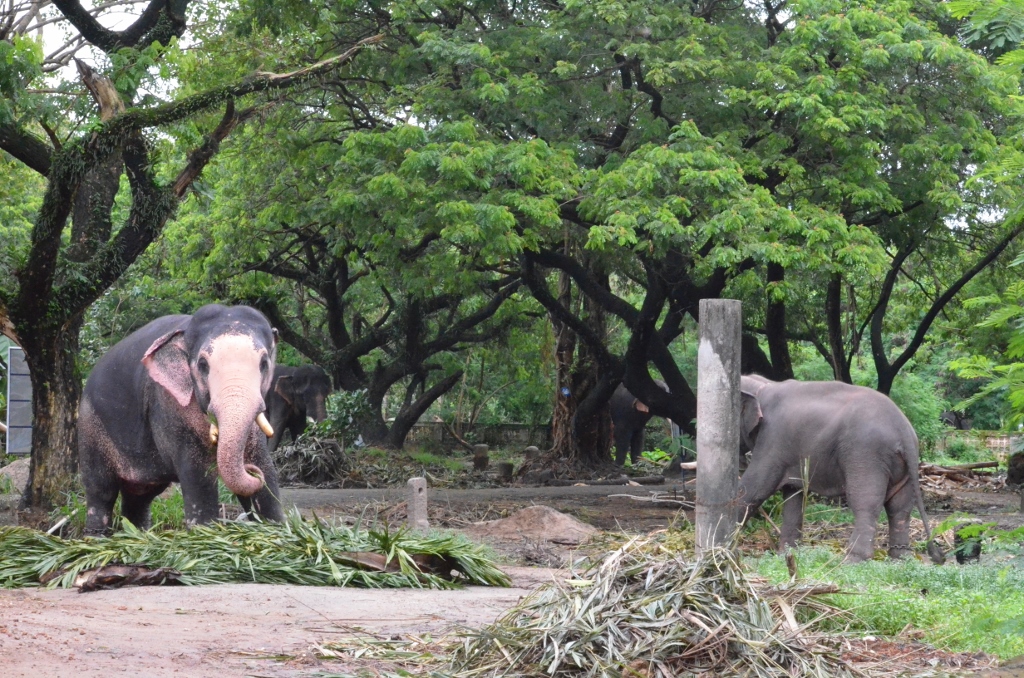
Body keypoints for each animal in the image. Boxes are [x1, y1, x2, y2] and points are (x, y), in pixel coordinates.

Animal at [78, 304, 284, 535]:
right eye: (203, 365)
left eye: (264, 363)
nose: (251, 471)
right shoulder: (167, 405)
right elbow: (197, 475)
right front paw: (204, 534)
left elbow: (265, 466)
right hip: (90, 426)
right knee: (101, 490)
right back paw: (97, 538)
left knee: (140, 496)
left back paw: (136, 535)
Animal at [738, 374, 943, 564]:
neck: (763, 384)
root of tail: (904, 431)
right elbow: (794, 495)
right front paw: (787, 554)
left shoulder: (772, 438)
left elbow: (755, 488)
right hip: (903, 465)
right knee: (900, 506)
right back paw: (901, 558)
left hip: (865, 453)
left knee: (865, 501)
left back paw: (852, 560)